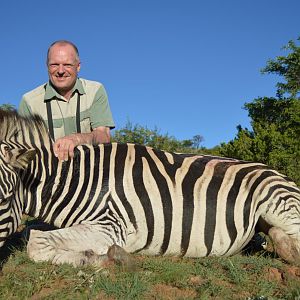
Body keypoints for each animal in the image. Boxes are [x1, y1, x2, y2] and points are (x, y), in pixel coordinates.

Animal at [0, 108, 298, 268]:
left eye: (4, 199)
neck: (78, 180)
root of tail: (277, 172)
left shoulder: (110, 226)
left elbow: (35, 242)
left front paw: (99, 259)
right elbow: (36, 237)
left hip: (278, 203)